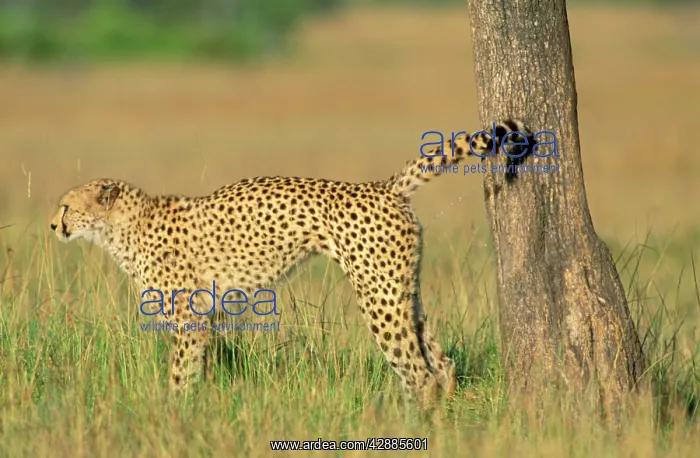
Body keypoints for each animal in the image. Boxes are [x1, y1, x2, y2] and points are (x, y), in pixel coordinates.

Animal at [49, 119, 533, 408]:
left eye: (67, 206)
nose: (53, 225)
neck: (123, 227)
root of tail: (382, 186)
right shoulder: (206, 315)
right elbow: (201, 367)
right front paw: (201, 408)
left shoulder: (190, 317)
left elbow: (181, 372)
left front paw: (175, 411)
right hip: (400, 286)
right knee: (439, 360)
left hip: (376, 294)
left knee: (415, 369)